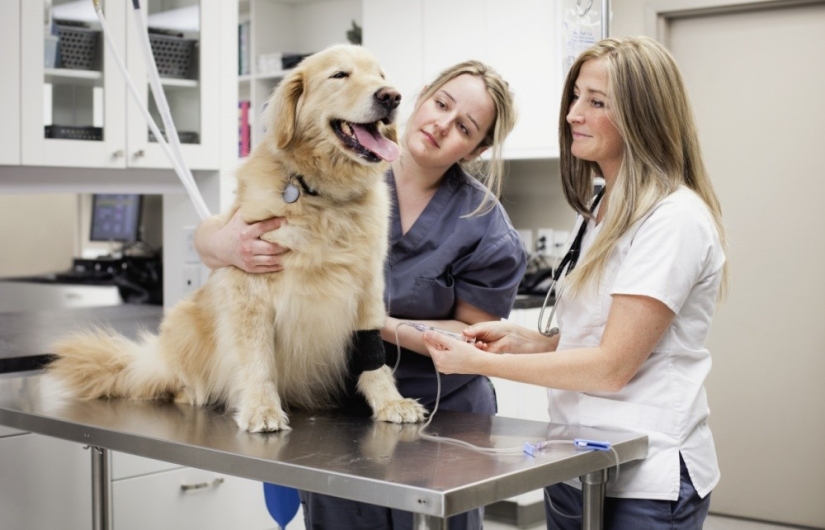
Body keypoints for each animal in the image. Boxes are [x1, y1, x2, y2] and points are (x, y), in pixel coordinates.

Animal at [46, 45, 424, 432]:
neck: (321, 195)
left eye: (380, 75)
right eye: (339, 75)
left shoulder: (367, 287)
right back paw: (190, 392)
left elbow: (373, 355)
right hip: (184, 321)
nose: (391, 96)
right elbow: (257, 356)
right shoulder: (249, 289)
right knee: (170, 377)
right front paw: (261, 408)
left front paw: (389, 401)